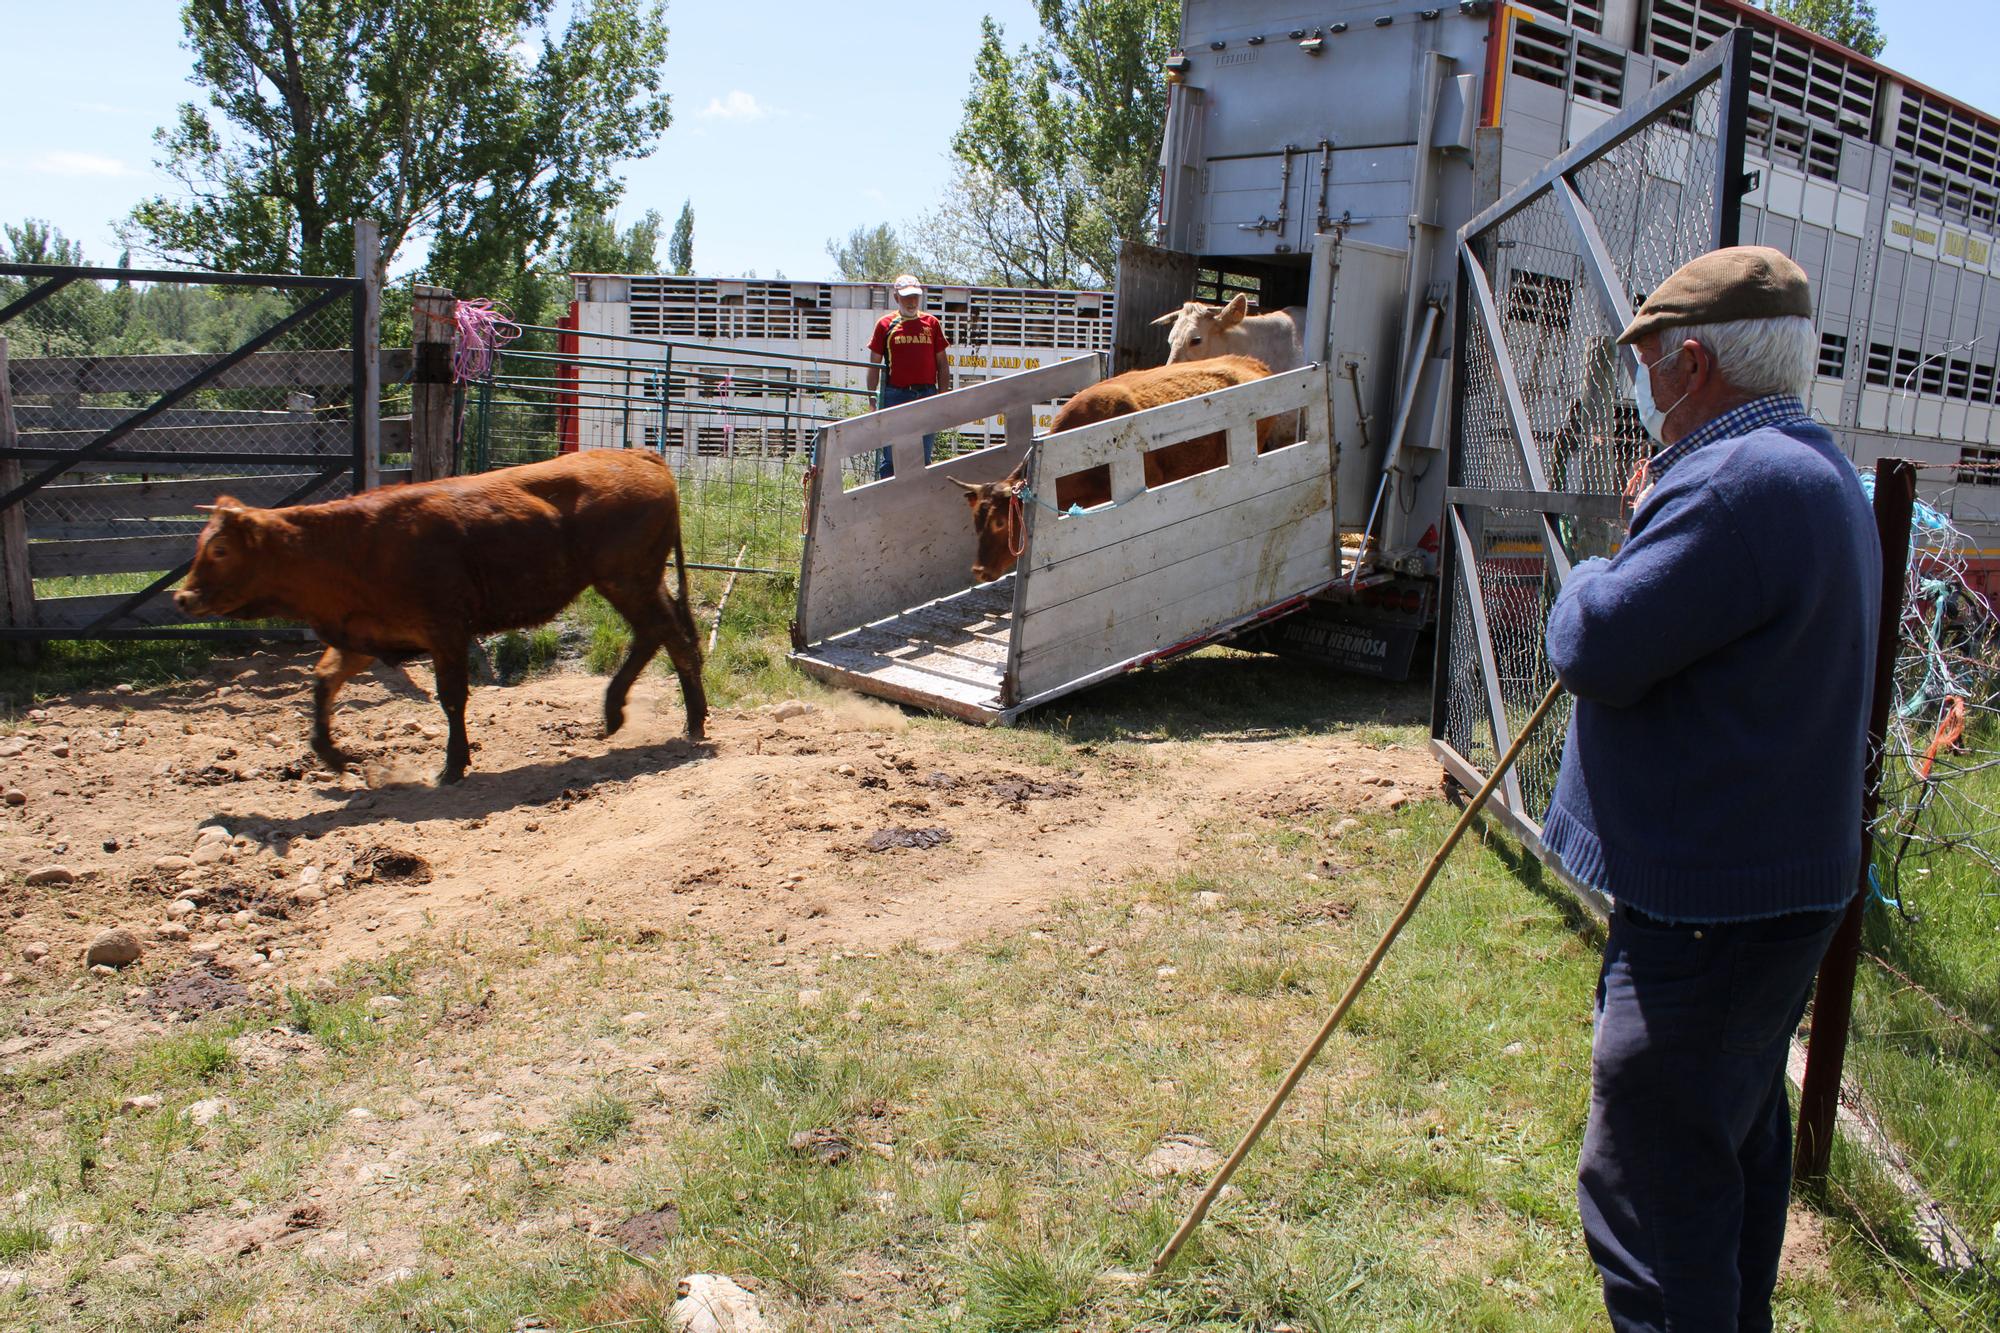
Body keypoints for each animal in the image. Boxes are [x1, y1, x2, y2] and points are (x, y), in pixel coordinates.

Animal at [172, 448, 708, 780]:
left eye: (219, 549)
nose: (182, 598)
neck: (350, 544)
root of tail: (638, 456)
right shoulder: (366, 633)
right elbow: (324, 680)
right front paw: (332, 754)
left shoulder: (445, 631)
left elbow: (451, 698)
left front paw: (452, 765)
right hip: (633, 583)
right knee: (659, 634)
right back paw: (626, 712)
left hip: (627, 581)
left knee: (670, 636)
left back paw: (686, 720)